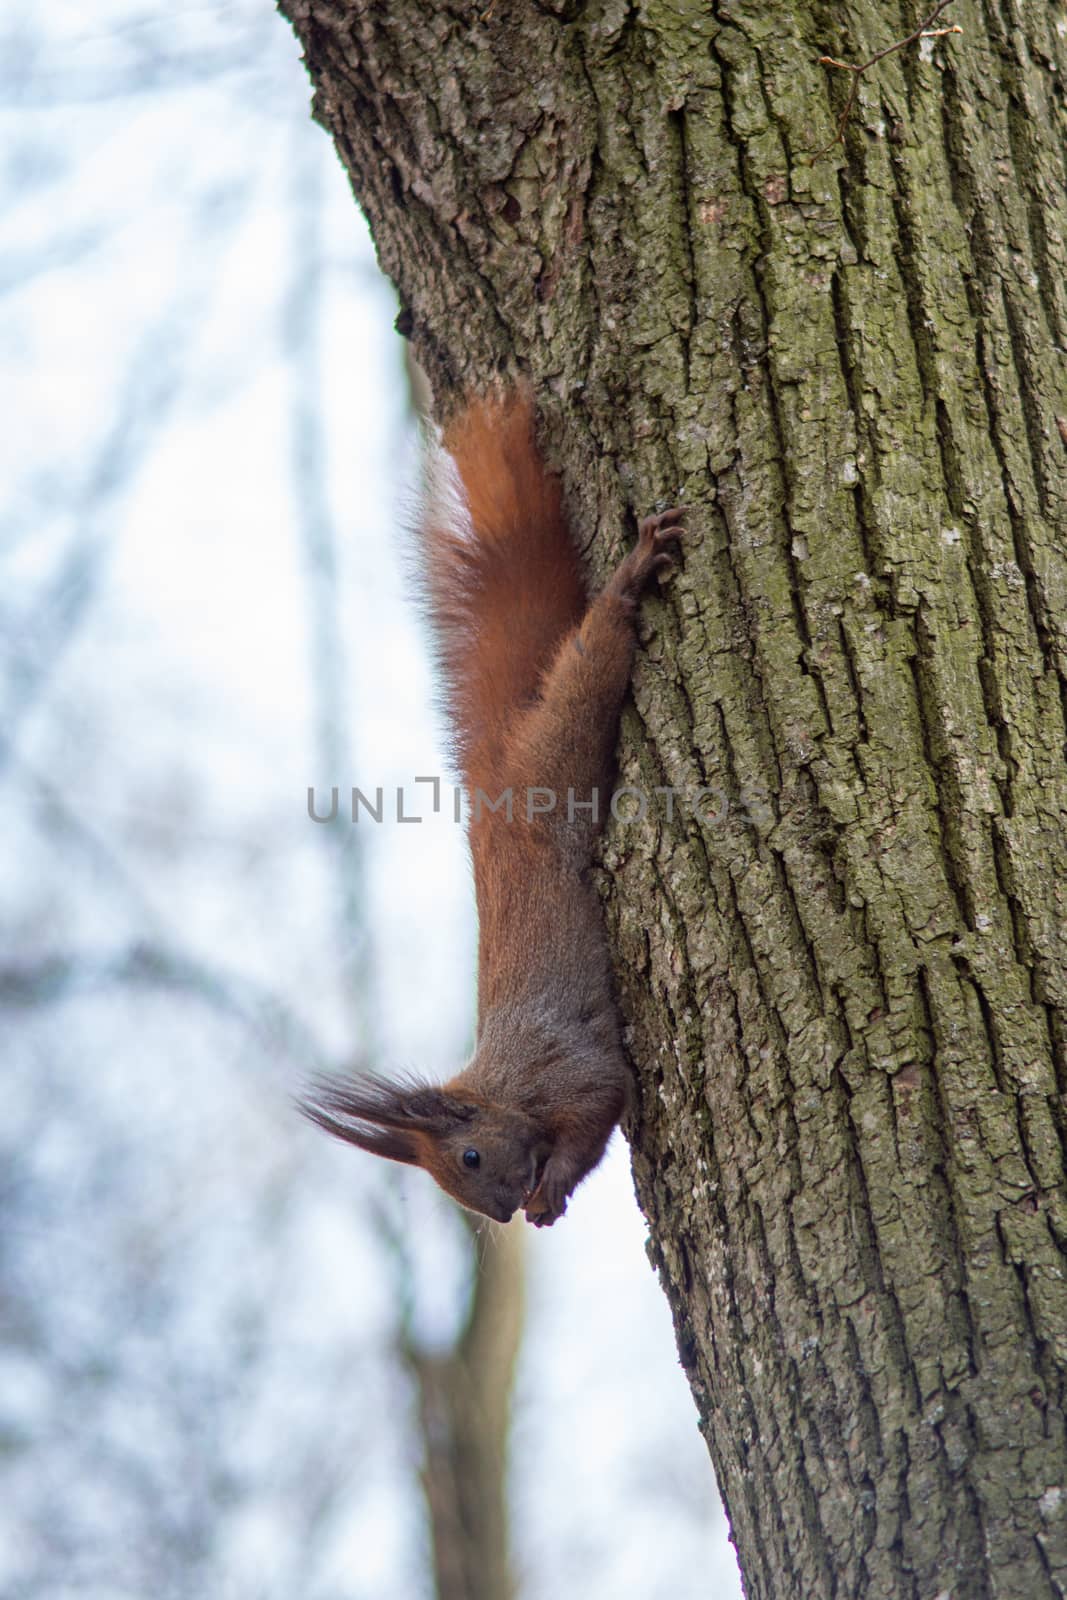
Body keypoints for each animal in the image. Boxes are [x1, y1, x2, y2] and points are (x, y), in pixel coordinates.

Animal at [300, 393, 684, 1228]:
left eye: (470, 1157)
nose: (504, 1213)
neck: (507, 1084)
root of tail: (491, 791)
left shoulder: (568, 1066)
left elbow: (598, 1108)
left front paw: (552, 1187)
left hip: (558, 754)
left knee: (588, 672)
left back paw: (628, 582)